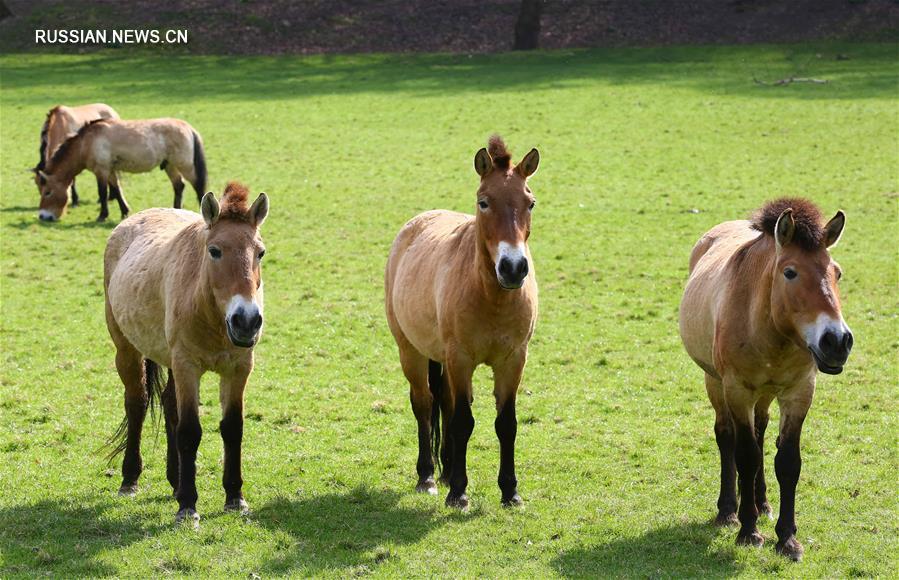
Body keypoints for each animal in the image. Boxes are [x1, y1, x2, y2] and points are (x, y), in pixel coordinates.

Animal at [35, 117, 207, 222]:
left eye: (47, 192)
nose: (43, 216)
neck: (86, 142)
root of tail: (188, 128)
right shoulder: (110, 170)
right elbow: (117, 190)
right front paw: (124, 211)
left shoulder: (102, 170)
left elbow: (103, 193)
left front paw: (102, 216)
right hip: (170, 165)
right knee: (179, 186)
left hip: (185, 165)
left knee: (198, 186)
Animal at [103, 182, 268, 524]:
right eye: (214, 250)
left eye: (260, 252)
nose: (246, 321)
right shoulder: (187, 367)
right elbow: (190, 431)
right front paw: (188, 507)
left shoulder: (238, 368)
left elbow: (232, 428)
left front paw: (235, 497)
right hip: (127, 349)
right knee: (137, 403)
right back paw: (130, 479)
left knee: (168, 404)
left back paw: (175, 480)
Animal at [386, 136, 540, 508]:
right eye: (483, 202)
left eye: (530, 203)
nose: (513, 268)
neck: (491, 296)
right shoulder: (461, 358)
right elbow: (462, 422)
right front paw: (458, 491)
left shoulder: (513, 360)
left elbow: (506, 424)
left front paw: (510, 491)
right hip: (411, 351)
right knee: (424, 404)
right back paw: (428, 476)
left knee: (444, 400)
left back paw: (444, 472)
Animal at [680, 197, 856, 560]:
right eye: (790, 272)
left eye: (837, 272)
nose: (837, 341)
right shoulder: (737, 390)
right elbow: (745, 457)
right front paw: (749, 532)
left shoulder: (799, 392)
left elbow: (787, 461)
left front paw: (787, 538)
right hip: (715, 382)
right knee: (727, 438)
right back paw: (729, 511)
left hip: (765, 394)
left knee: (760, 435)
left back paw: (761, 503)